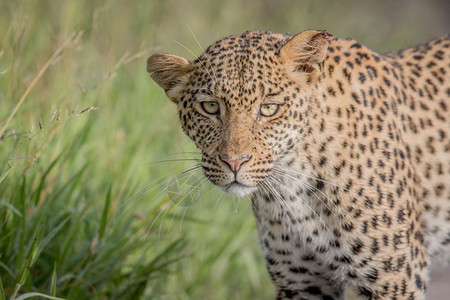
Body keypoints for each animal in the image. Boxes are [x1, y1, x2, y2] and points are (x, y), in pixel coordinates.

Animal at [146, 29, 448, 298]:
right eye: (209, 107)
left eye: (269, 108)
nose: (234, 162)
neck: (293, 186)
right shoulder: (302, 281)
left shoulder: (394, 279)